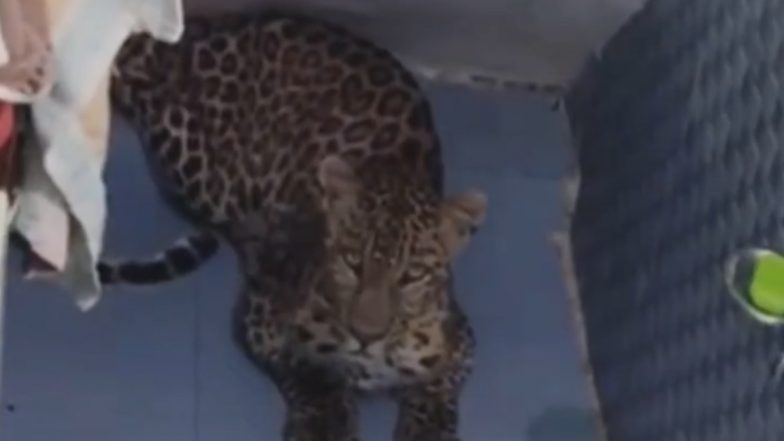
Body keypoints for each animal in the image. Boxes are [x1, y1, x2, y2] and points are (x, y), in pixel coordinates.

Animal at [98, 12, 488, 441]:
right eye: (351, 261)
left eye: (412, 275)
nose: (366, 336)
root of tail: (210, 28)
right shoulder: (262, 320)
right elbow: (312, 374)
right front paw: (325, 421)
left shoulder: (461, 343)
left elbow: (436, 387)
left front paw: (427, 425)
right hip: (204, 172)